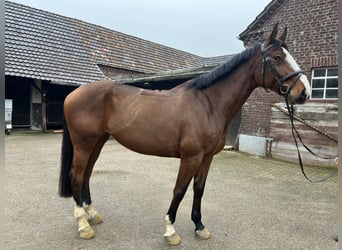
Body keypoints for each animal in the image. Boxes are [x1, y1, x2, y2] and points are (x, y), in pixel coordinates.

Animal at [59, 23, 312, 246]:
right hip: (84, 143)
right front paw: (171, 231)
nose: (305, 92)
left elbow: (199, 189)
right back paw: (83, 225)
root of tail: (73, 94)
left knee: (87, 174)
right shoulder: (191, 157)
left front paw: (199, 226)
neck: (208, 104)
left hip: (98, 141)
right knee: (77, 175)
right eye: (277, 58)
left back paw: (91, 214)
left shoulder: (207, 158)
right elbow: (179, 190)